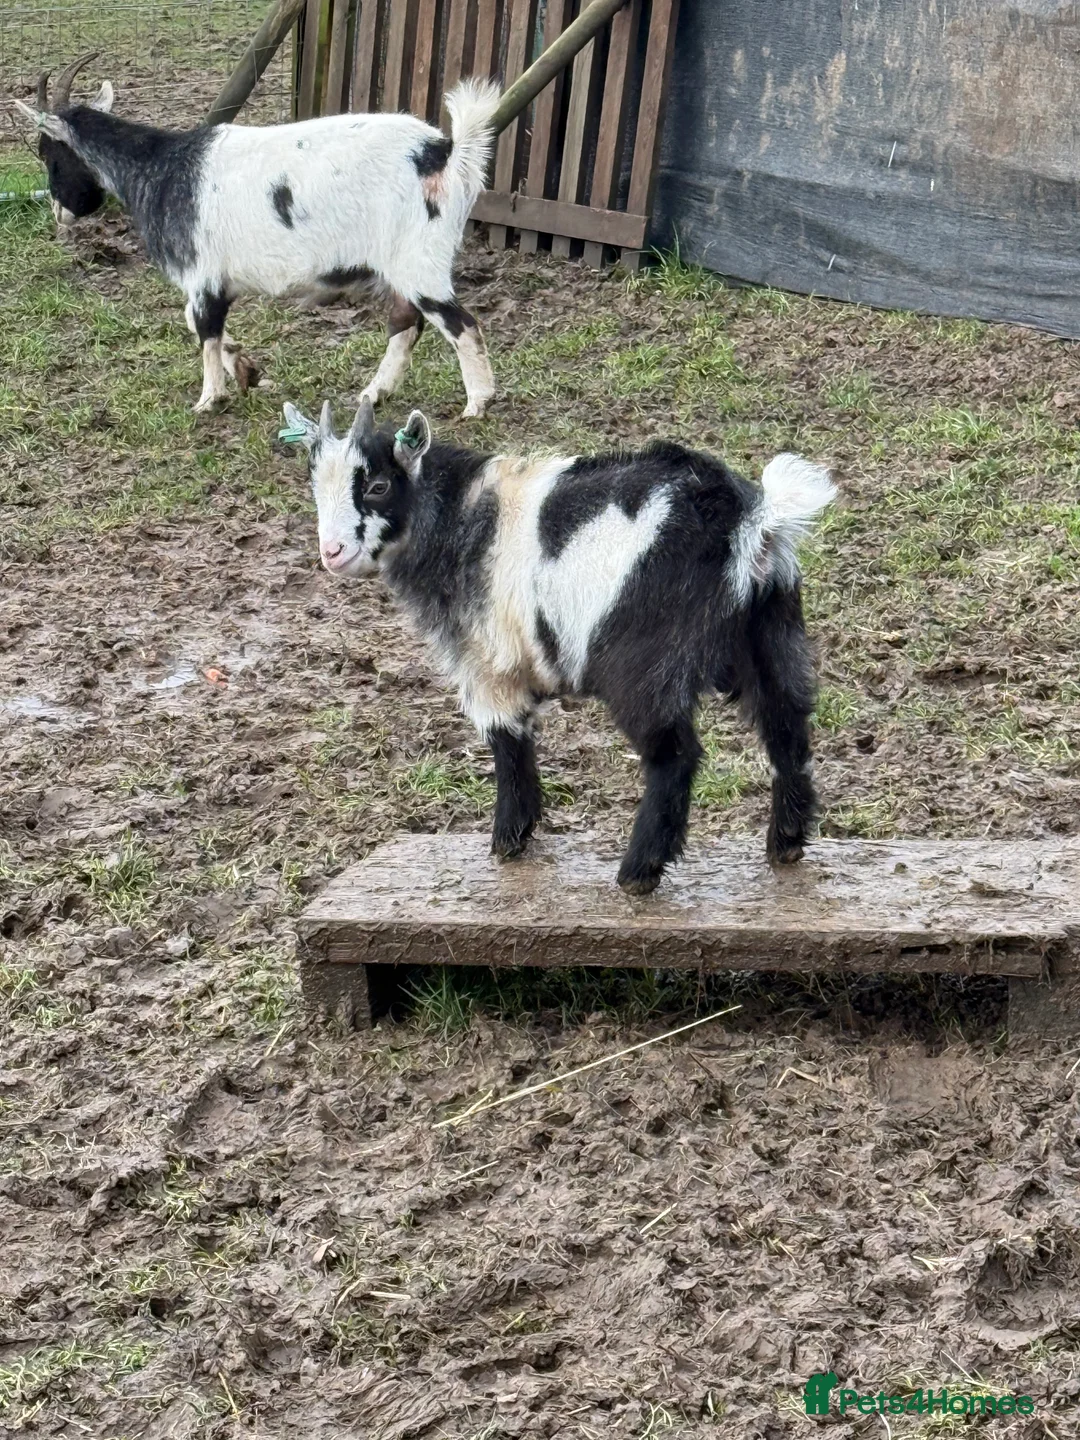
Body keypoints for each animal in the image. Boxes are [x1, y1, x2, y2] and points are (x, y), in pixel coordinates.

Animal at [15, 54, 500, 417]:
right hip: (403, 266)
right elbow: (199, 325)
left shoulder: (202, 275)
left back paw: (477, 404)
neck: (161, 168)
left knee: (462, 325)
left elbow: (205, 331)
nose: (59, 212)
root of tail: (444, 154)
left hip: (421, 261)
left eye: (46, 151)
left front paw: (209, 399)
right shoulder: (212, 282)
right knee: (405, 323)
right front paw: (247, 370)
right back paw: (373, 394)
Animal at [281, 397, 837, 893]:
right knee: (787, 727)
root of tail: (748, 523)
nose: (332, 553)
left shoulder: (487, 661)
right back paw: (786, 841)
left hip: (644, 664)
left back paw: (638, 872)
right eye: (315, 487)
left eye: (377, 486)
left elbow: (506, 741)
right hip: (771, 634)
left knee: (675, 756)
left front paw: (507, 840)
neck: (461, 514)